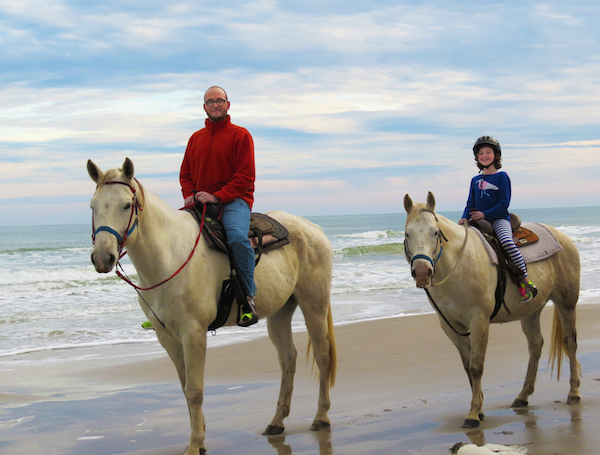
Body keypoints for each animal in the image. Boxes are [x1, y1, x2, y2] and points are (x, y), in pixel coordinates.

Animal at [88, 159, 338, 454]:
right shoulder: (167, 337)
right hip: (279, 313)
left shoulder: (193, 333)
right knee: (288, 358)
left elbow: (195, 390)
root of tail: (313, 229)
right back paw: (276, 422)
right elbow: (185, 387)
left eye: (127, 205)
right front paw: (200, 438)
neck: (169, 256)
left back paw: (321, 417)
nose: (103, 258)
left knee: (322, 355)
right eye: (93, 206)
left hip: (314, 304)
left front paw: (195, 444)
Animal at [404, 192, 580, 432]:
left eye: (435, 232)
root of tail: (563, 237)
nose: (422, 272)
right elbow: (467, 367)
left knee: (570, 342)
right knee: (535, 345)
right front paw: (478, 409)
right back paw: (523, 396)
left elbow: (476, 366)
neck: (457, 264)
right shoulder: (452, 327)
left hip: (566, 303)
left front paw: (472, 415)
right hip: (531, 311)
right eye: (407, 234)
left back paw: (574, 393)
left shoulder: (479, 321)